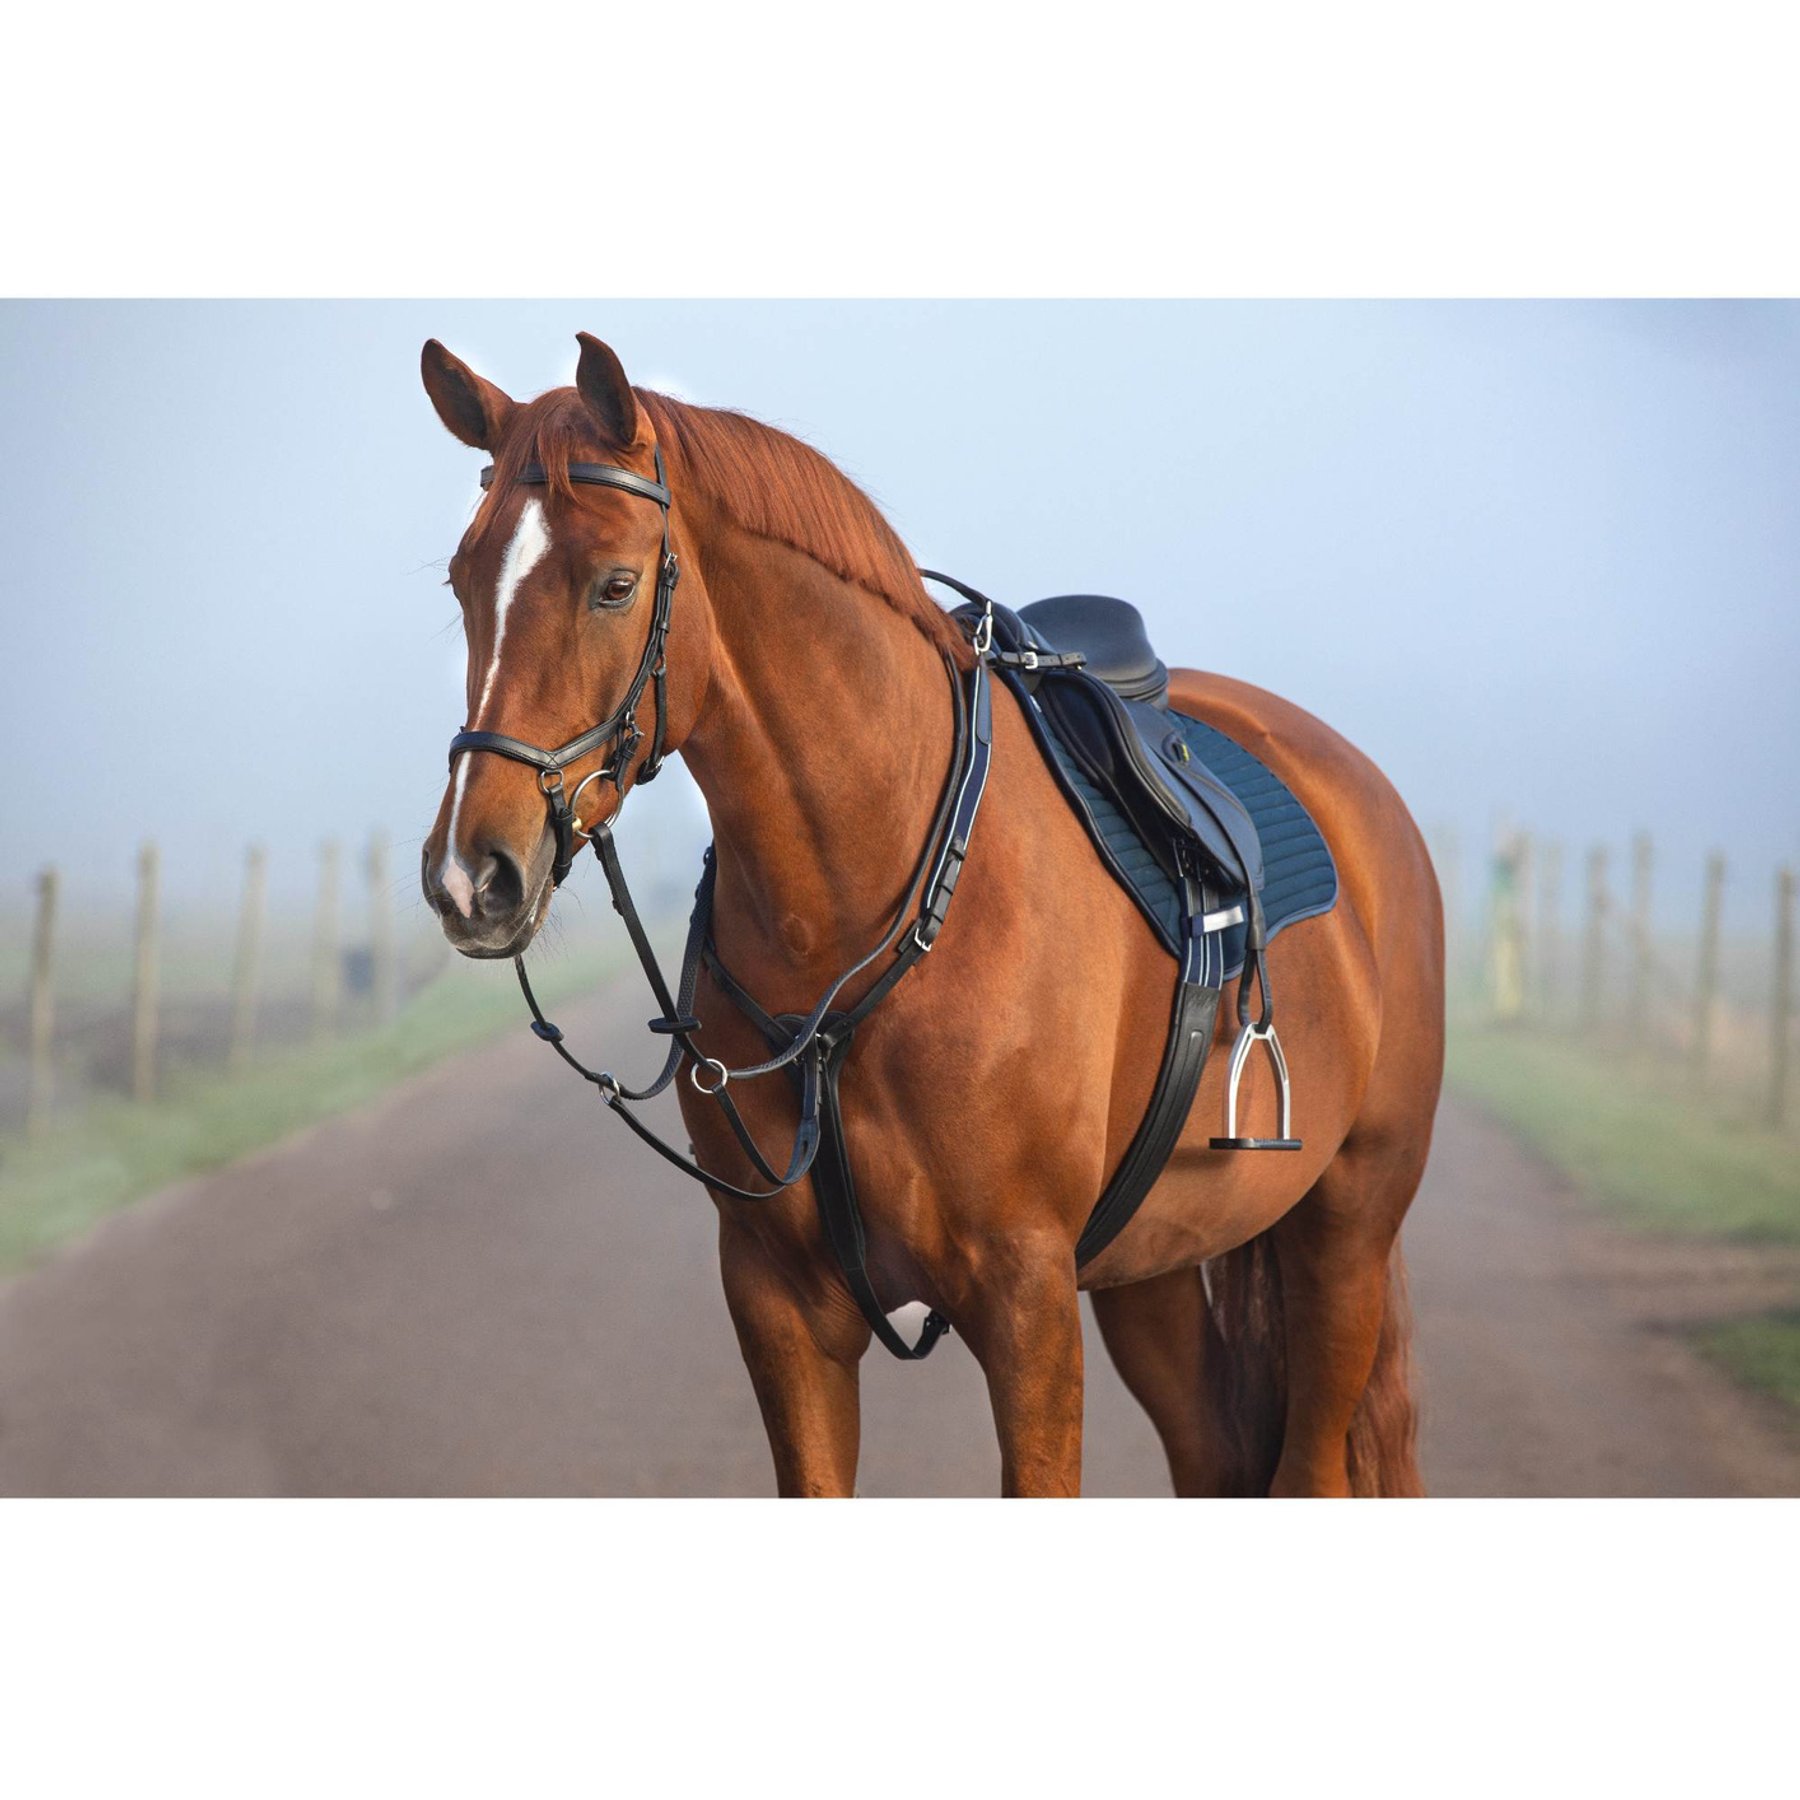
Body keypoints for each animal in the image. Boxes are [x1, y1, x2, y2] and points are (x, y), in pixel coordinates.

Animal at [417, 332, 1444, 1497]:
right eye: (462, 581)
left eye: (615, 585)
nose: (471, 876)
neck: (852, 922)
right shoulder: (778, 1303)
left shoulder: (1028, 1300)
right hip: (1154, 1271)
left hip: (1346, 1233)